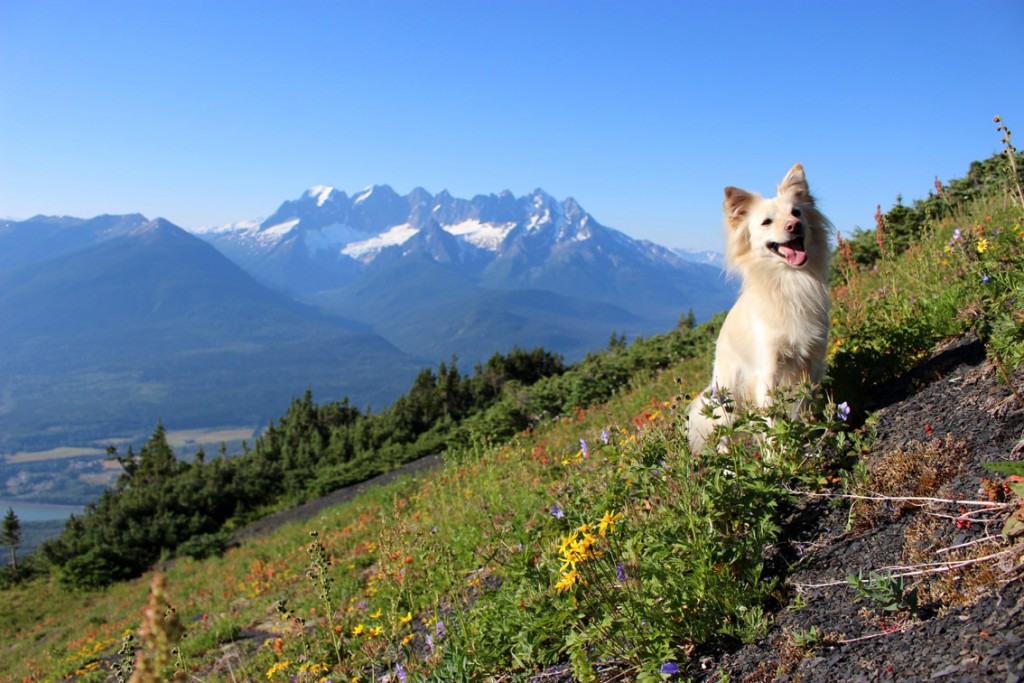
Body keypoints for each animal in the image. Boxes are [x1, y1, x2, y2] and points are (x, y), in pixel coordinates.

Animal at [688, 163, 831, 454]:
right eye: (766, 222)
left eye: (796, 212)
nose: (794, 225)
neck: (790, 281)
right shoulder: (768, 371)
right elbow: (774, 422)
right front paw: (780, 455)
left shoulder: (810, 362)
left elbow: (803, 406)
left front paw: (808, 438)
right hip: (728, 396)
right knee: (724, 435)